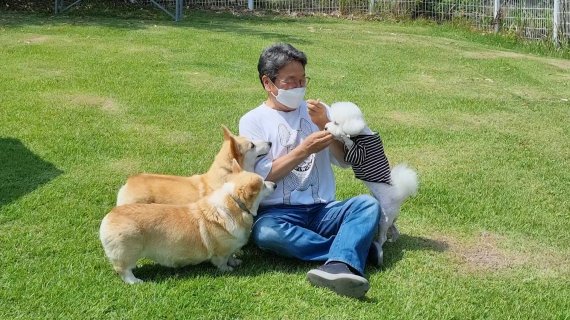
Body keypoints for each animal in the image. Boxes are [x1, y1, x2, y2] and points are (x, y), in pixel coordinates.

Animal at [324, 101, 418, 264]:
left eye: (336, 123)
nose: (325, 127)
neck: (360, 134)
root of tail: (398, 195)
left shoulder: (358, 154)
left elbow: (348, 143)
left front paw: (343, 136)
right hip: (390, 218)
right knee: (394, 229)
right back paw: (393, 239)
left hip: (384, 217)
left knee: (383, 236)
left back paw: (378, 245)